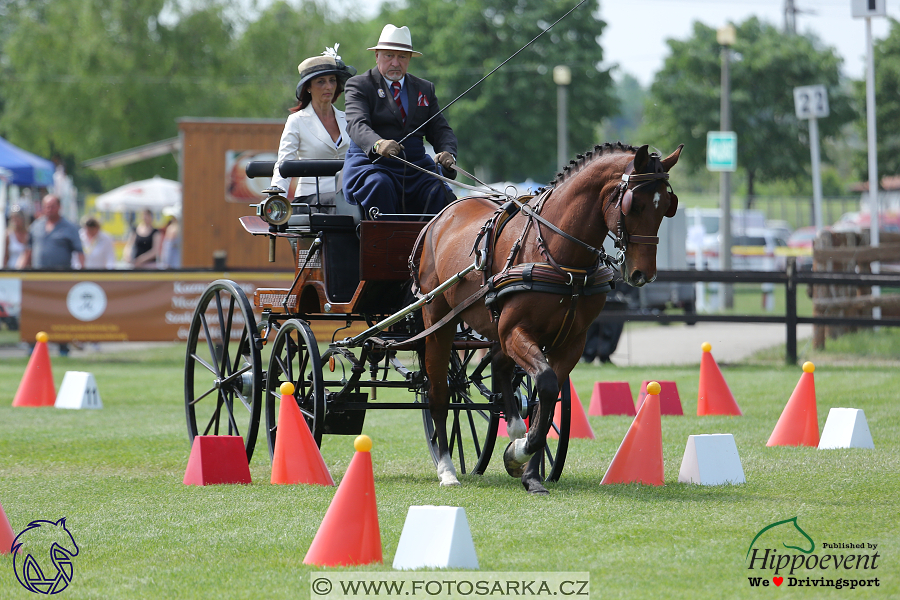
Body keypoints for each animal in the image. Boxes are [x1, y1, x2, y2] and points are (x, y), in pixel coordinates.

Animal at [414, 143, 684, 494]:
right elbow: (544, 383)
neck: (561, 257)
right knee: (439, 391)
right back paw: (447, 468)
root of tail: (438, 219)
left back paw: (514, 429)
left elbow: (547, 399)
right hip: (440, 322)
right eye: (634, 204)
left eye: (666, 207)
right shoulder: (516, 331)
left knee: (500, 369)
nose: (643, 274)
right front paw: (519, 453)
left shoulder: (569, 342)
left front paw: (528, 469)